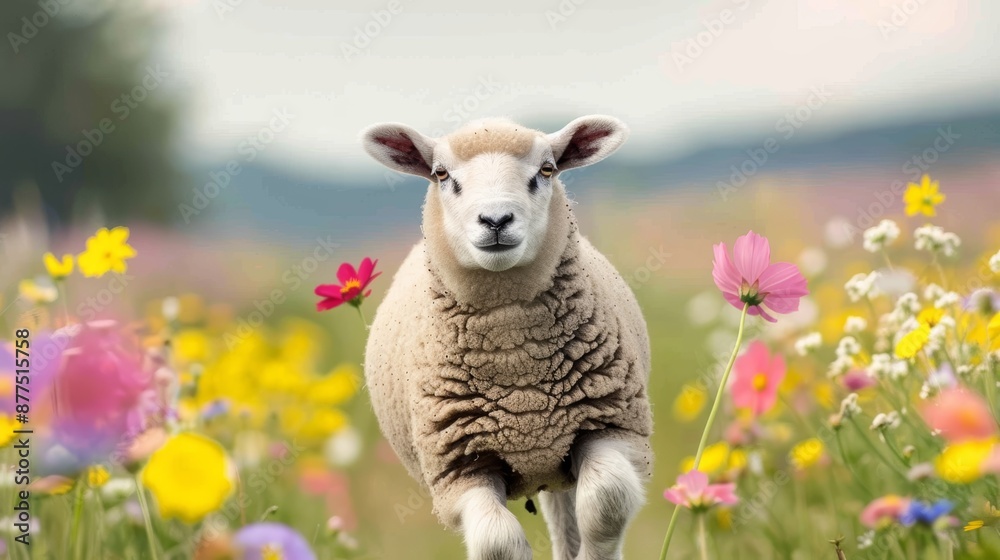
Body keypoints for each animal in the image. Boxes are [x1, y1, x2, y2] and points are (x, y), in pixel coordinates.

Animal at [361, 115, 653, 560]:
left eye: (547, 169)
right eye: (440, 174)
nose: (496, 220)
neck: (519, 376)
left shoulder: (614, 426)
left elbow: (607, 499)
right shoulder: (460, 470)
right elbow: (497, 542)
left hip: (557, 457)